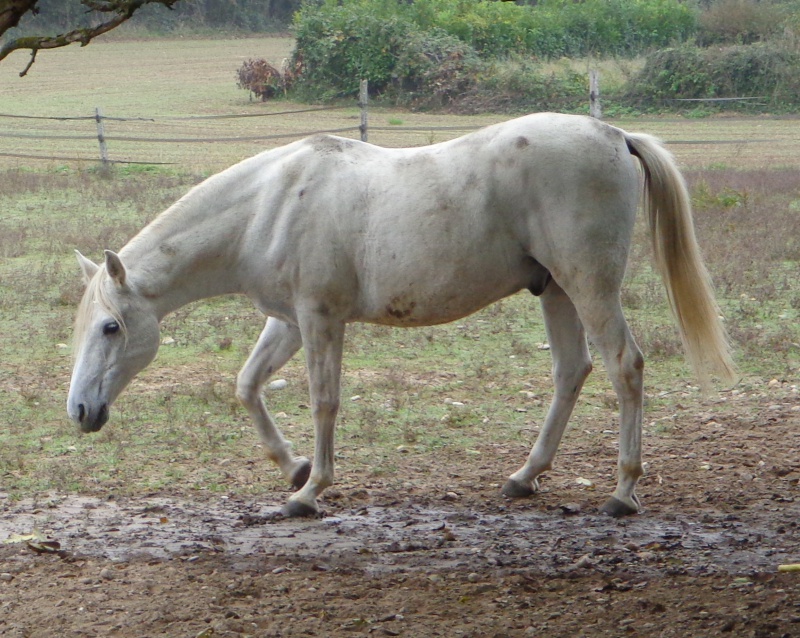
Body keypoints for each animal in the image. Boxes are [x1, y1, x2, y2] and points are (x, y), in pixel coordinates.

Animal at [70, 111, 736, 520]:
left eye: (111, 327)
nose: (79, 411)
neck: (270, 204)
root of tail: (613, 134)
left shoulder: (321, 319)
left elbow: (324, 401)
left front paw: (310, 492)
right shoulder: (289, 322)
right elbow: (248, 385)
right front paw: (293, 467)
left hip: (587, 287)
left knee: (625, 366)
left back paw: (623, 491)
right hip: (555, 292)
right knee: (571, 372)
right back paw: (524, 477)